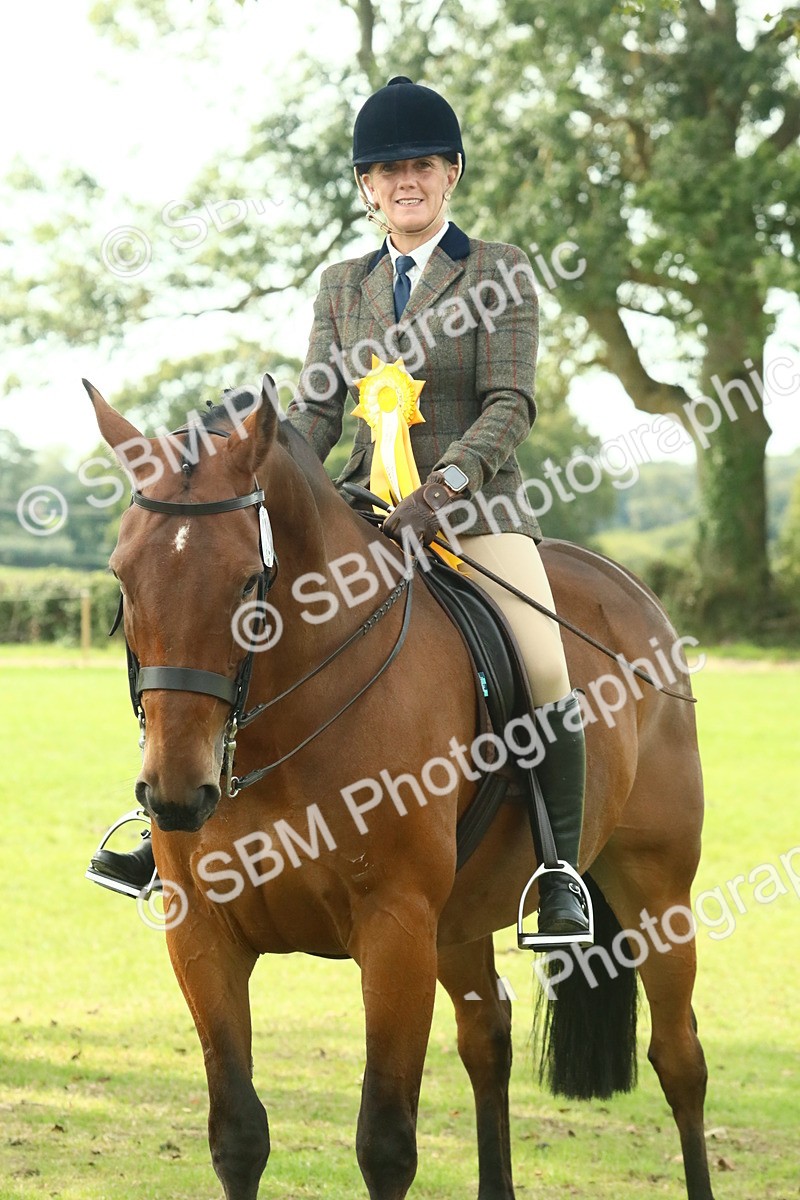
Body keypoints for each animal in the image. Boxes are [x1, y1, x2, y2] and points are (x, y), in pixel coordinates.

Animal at [85, 376, 716, 1200]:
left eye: (251, 580)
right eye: (122, 576)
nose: (176, 794)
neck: (286, 725)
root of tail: (627, 588)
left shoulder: (396, 929)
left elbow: (385, 1141)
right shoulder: (203, 934)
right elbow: (238, 1134)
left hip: (655, 886)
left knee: (679, 1059)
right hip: (462, 916)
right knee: (487, 1039)